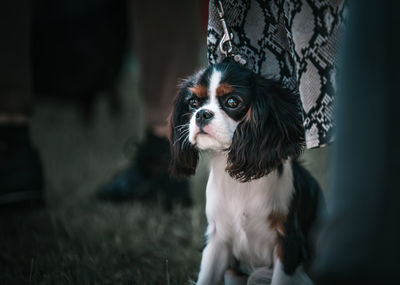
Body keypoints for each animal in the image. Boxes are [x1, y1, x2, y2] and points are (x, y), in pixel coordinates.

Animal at [168, 58, 322, 282]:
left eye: (233, 102)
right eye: (193, 103)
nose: (202, 114)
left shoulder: (288, 242)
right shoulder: (217, 240)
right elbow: (206, 277)